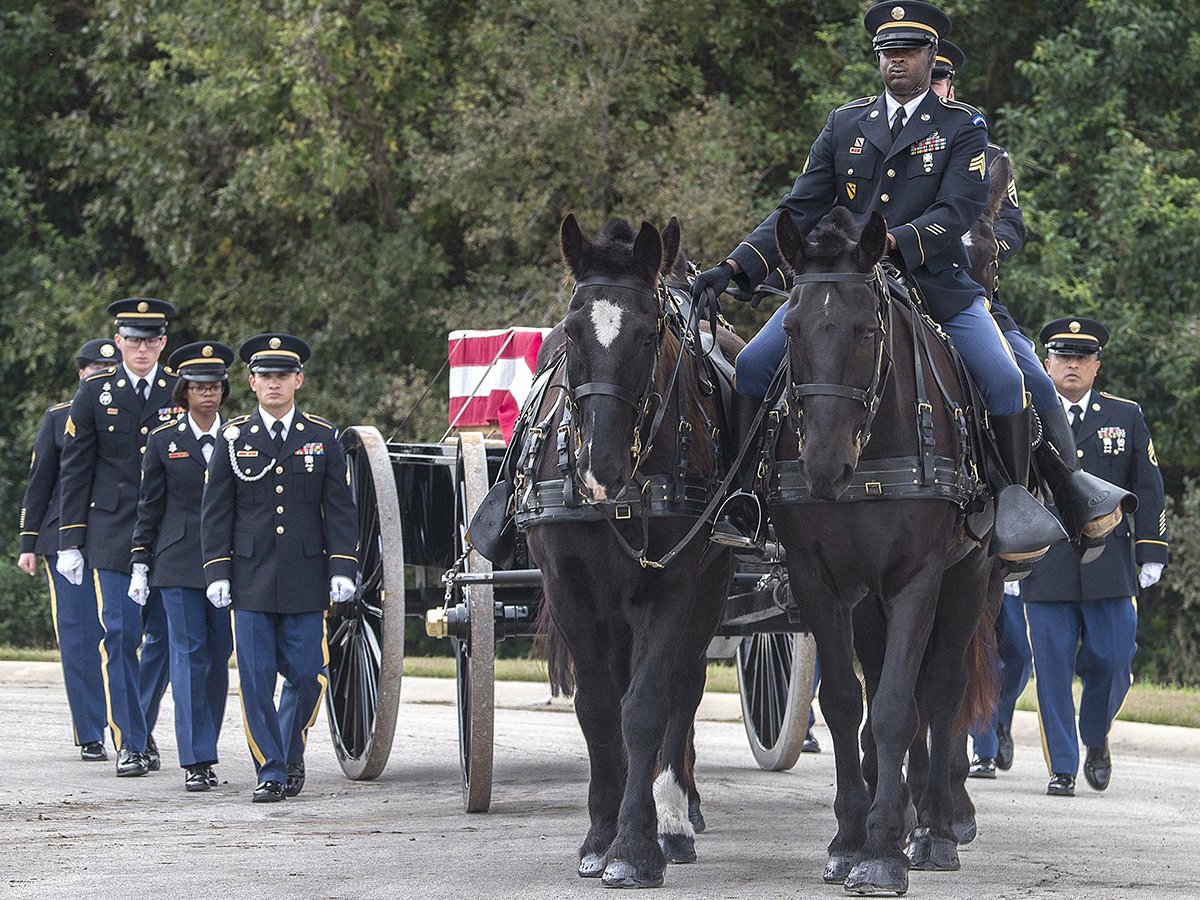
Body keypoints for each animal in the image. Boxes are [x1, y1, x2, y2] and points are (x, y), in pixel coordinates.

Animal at [528, 217, 734, 888]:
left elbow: (645, 706)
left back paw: (673, 818)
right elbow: (598, 706)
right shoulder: (568, 587)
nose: (601, 467)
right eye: (570, 332)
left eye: (648, 335)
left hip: (711, 588)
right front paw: (601, 832)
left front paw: (637, 845)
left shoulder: (671, 589)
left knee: (682, 690)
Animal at [763, 210, 998, 897]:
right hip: (869, 599)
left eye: (867, 329)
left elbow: (897, 706)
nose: (822, 466)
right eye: (790, 328)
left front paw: (885, 850)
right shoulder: (819, 580)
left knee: (940, 691)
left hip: (970, 576)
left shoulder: (918, 578)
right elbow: (846, 702)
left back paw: (937, 828)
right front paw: (850, 838)